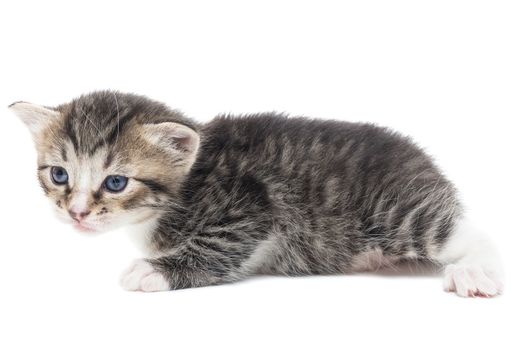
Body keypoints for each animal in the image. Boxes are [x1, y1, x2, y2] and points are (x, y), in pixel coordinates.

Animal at [10, 90, 504, 296]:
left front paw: (155, 271)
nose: (76, 213)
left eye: (116, 182)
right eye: (59, 175)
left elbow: (219, 242)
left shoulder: (252, 204)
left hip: (395, 210)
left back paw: (473, 272)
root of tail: (422, 159)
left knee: (470, 234)